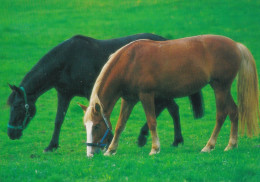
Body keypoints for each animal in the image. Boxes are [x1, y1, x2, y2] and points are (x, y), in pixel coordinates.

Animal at [7, 33, 204, 152]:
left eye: (18, 106)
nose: (11, 134)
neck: (68, 60)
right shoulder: (64, 94)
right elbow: (58, 120)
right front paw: (52, 146)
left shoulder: (92, 93)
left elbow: (100, 116)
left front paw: (105, 141)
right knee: (171, 108)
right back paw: (164, 139)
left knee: (171, 109)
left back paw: (165, 139)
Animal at [82, 34, 258, 156]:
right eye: (86, 126)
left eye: (96, 126)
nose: (90, 154)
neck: (130, 61)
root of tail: (236, 45)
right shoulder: (129, 100)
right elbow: (120, 125)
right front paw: (111, 150)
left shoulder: (146, 96)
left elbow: (152, 121)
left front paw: (154, 149)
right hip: (221, 88)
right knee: (234, 112)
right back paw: (231, 145)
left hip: (220, 88)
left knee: (221, 115)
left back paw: (209, 146)